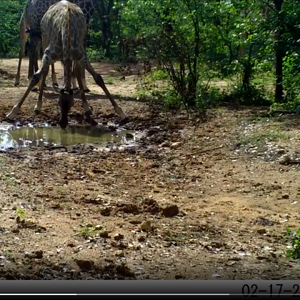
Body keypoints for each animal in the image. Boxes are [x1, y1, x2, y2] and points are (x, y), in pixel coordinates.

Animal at [6, 0, 126, 129]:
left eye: (72, 103)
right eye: (58, 103)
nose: (63, 124)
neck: (67, 33)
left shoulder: (82, 55)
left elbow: (97, 78)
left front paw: (121, 112)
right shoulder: (48, 54)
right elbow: (36, 76)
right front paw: (13, 112)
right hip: (40, 35)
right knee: (31, 53)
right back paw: (35, 100)